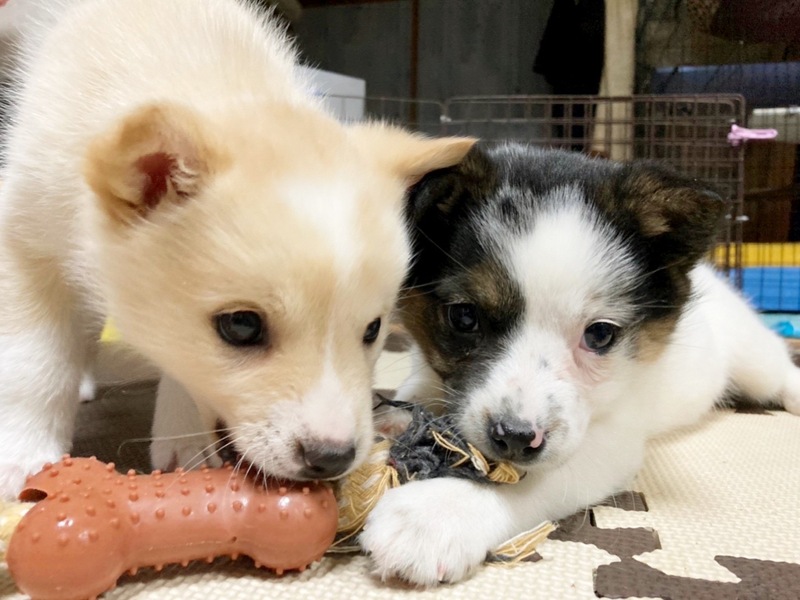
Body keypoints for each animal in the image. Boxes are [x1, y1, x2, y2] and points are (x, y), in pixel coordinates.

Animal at [0, 0, 474, 498]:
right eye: (242, 326)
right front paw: (23, 456)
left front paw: (182, 439)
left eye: (372, 330)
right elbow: (34, 361)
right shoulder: (22, 236)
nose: (333, 458)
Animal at [360, 143, 800, 585]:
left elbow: (536, 479)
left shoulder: (613, 442)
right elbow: (416, 396)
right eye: (464, 317)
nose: (515, 438)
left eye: (600, 335)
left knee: (778, 367)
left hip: (753, 358)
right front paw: (387, 422)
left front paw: (437, 513)